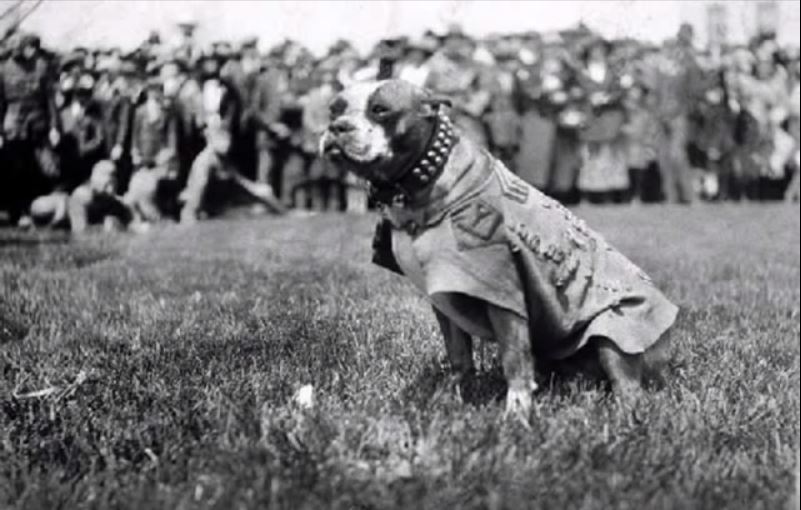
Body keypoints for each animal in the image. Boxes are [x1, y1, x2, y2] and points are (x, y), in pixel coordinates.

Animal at [318, 80, 676, 418]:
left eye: (380, 110)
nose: (337, 127)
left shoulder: (503, 296)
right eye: (334, 110)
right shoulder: (444, 297)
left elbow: (514, 357)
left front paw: (517, 412)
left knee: (626, 384)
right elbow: (459, 356)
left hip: (616, 330)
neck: (423, 181)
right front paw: (447, 399)